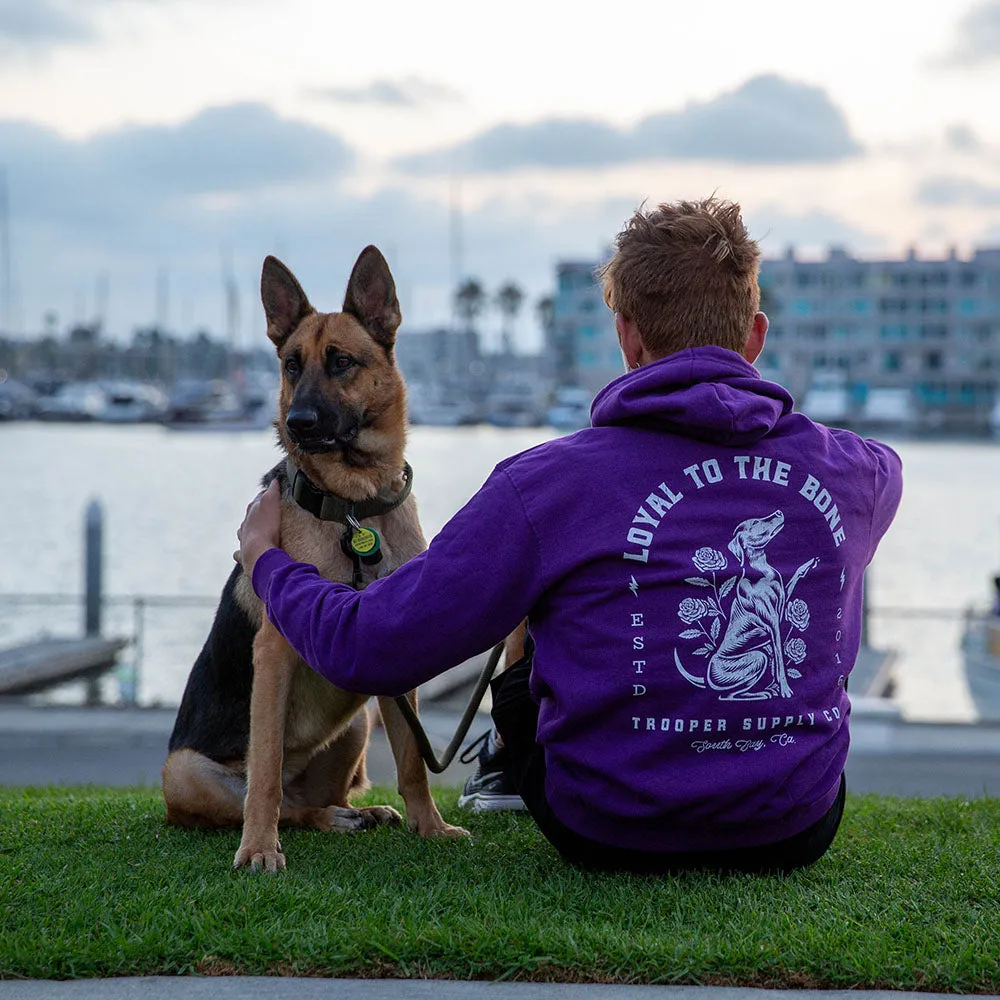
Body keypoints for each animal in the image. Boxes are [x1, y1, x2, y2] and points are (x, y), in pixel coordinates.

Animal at [162, 248, 466, 868]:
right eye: (290, 366)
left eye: (342, 362)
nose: (299, 424)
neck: (353, 506)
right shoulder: (275, 654)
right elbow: (265, 776)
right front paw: (258, 850)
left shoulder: (392, 655)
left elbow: (412, 761)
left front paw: (430, 827)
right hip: (183, 770)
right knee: (279, 800)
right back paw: (311, 821)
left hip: (356, 726)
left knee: (317, 799)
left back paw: (355, 813)